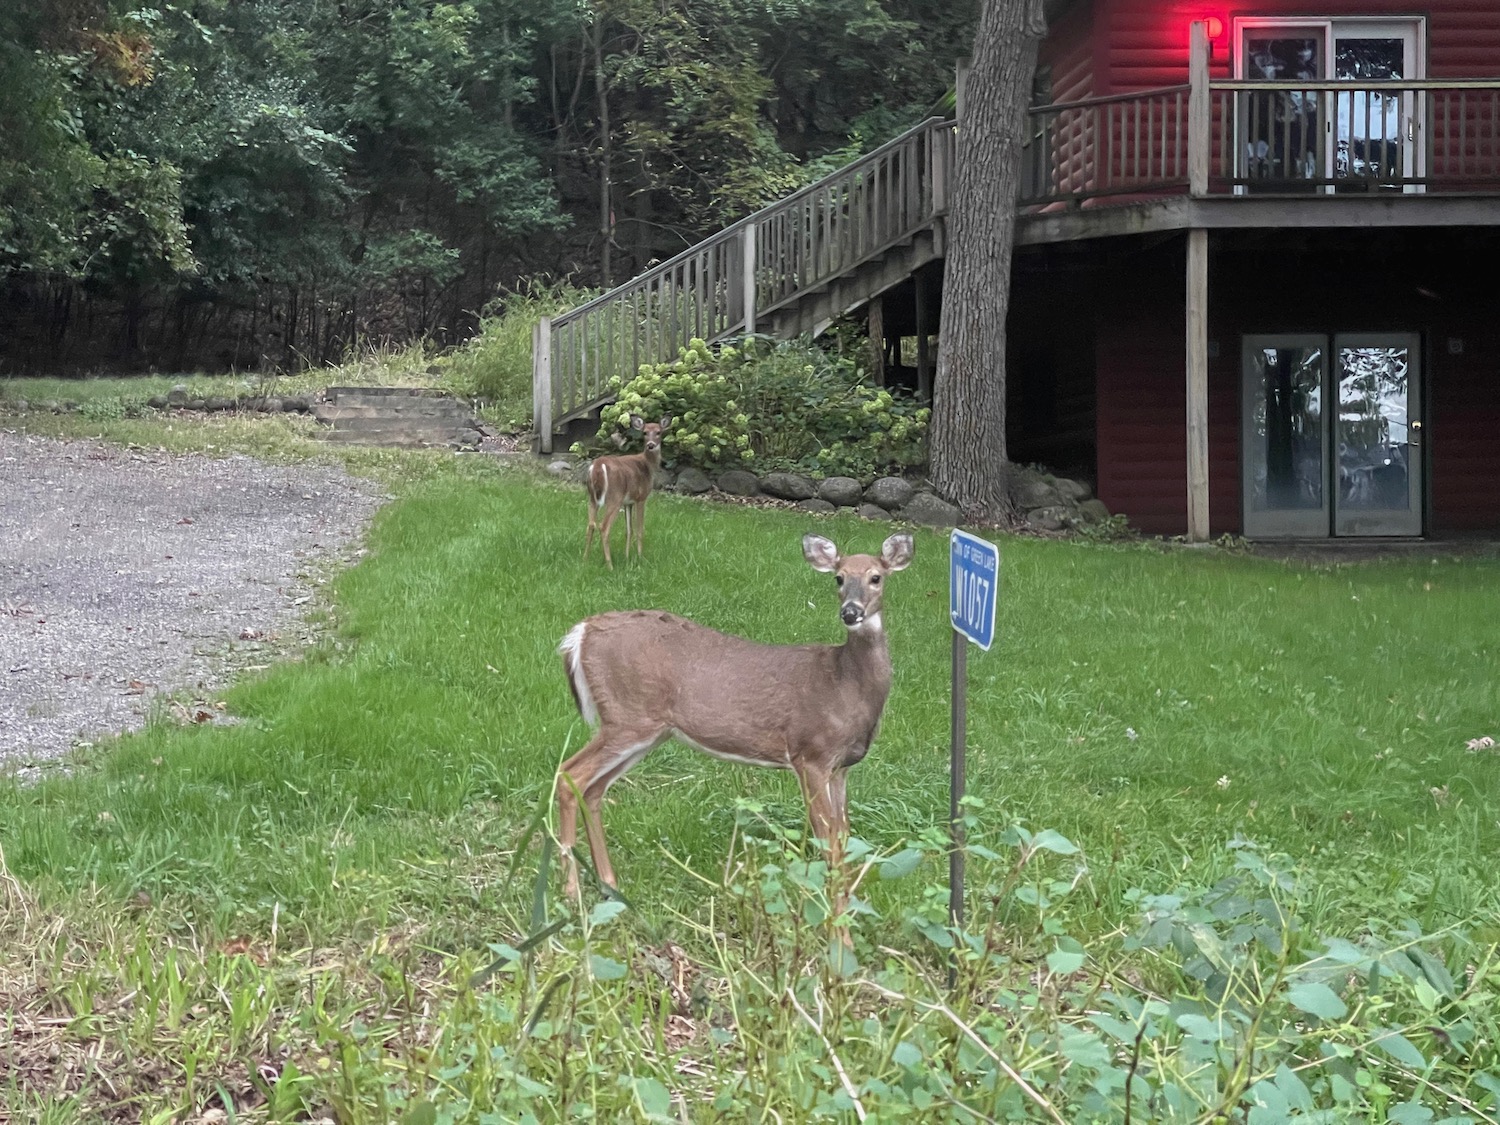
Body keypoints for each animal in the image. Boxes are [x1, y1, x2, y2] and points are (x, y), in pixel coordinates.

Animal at [555, 534, 912, 900]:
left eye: (876, 577)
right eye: (838, 578)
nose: (850, 612)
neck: (844, 685)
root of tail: (580, 632)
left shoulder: (841, 767)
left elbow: (843, 838)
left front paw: (848, 902)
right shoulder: (810, 752)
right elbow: (827, 839)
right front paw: (832, 908)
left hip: (645, 729)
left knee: (593, 789)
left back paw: (609, 885)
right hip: (627, 717)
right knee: (569, 776)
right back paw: (571, 890)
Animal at [582, 417, 672, 567]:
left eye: (658, 432)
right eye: (645, 432)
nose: (651, 445)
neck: (648, 465)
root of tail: (598, 466)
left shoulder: (628, 502)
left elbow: (629, 530)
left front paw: (627, 556)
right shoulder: (641, 497)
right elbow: (639, 529)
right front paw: (640, 557)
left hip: (592, 498)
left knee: (590, 525)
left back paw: (585, 559)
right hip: (614, 497)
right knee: (603, 527)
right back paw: (610, 565)